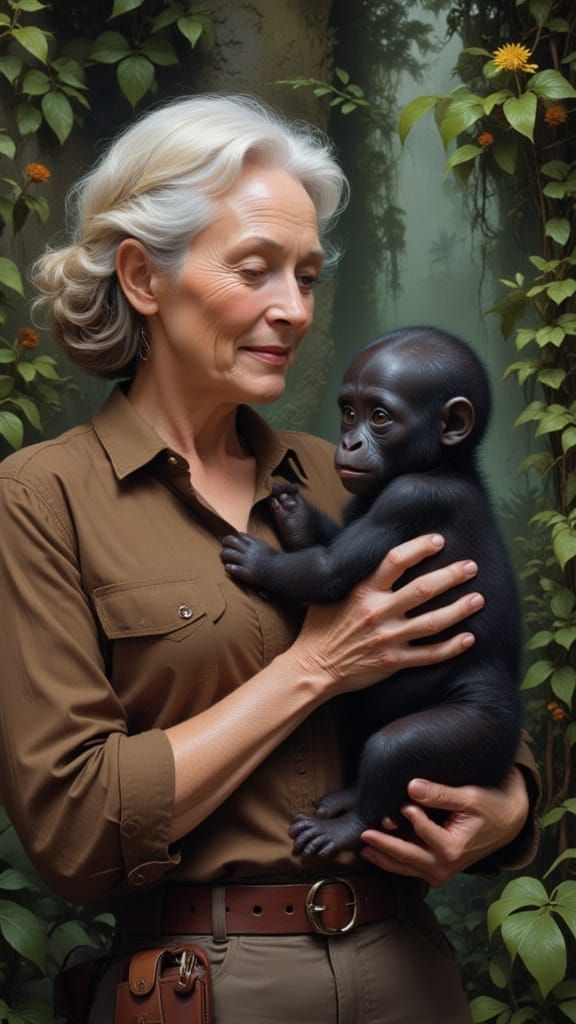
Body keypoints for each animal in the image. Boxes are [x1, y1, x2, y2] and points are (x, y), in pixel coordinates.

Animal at [220, 327, 523, 858]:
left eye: (380, 416)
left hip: (485, 733)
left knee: (396, 747)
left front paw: (260, 561)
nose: (350, 440)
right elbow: (328, 544)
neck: (444, 463)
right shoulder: (360, 498)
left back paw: (350, 822)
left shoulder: (412, 500)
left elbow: (327, 570)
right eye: (348, 411)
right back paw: (348, 797)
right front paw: (294, 514)